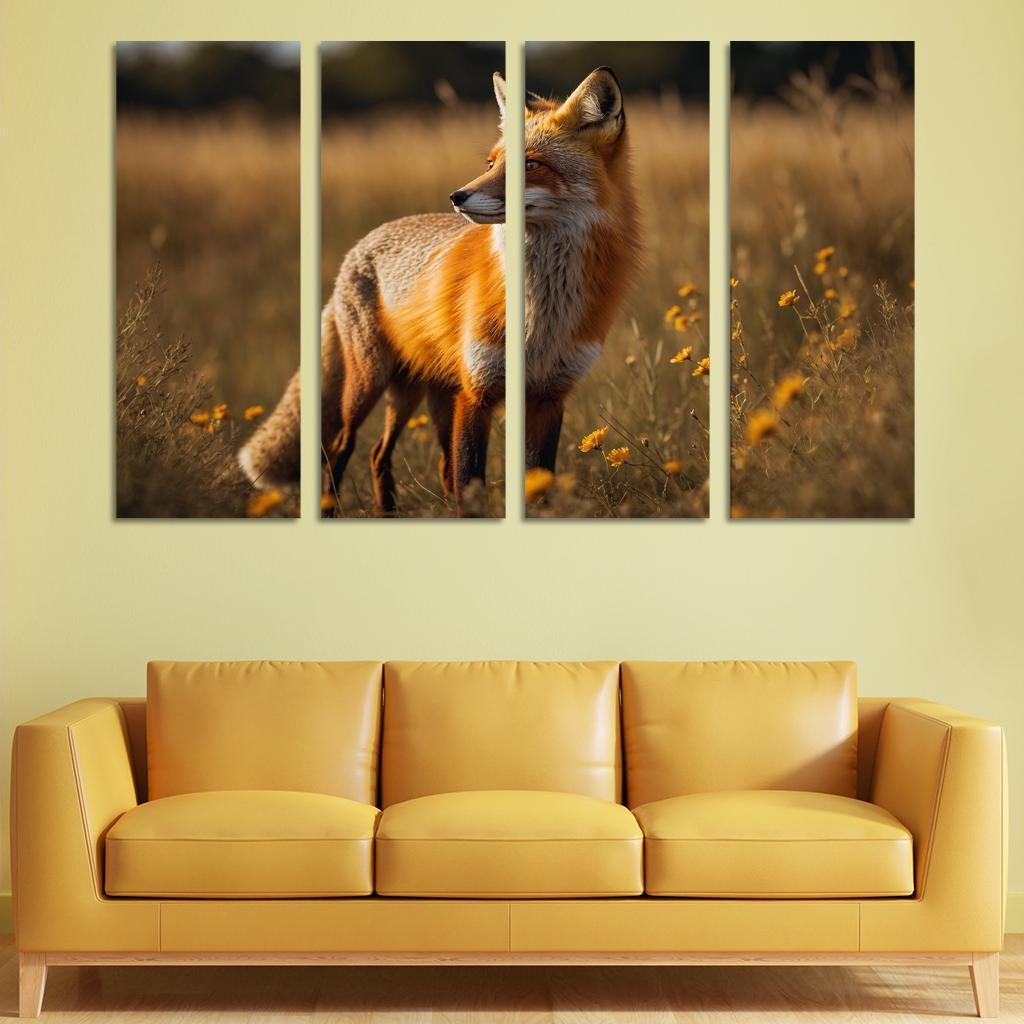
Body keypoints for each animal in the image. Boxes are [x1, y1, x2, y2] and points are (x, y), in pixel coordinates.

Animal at [239, 67, 640, 513]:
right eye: (490, 163)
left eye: (531, 164)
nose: (457, 196)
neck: (541, 314)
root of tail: (359, 245)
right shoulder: (476, 393)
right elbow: (470, 481)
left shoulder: (549, 397)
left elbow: (536, 483)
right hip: (371, 383)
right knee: (343, 447)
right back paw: (333, 508)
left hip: (421, 393)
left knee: (392, 456)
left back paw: (388, 513)